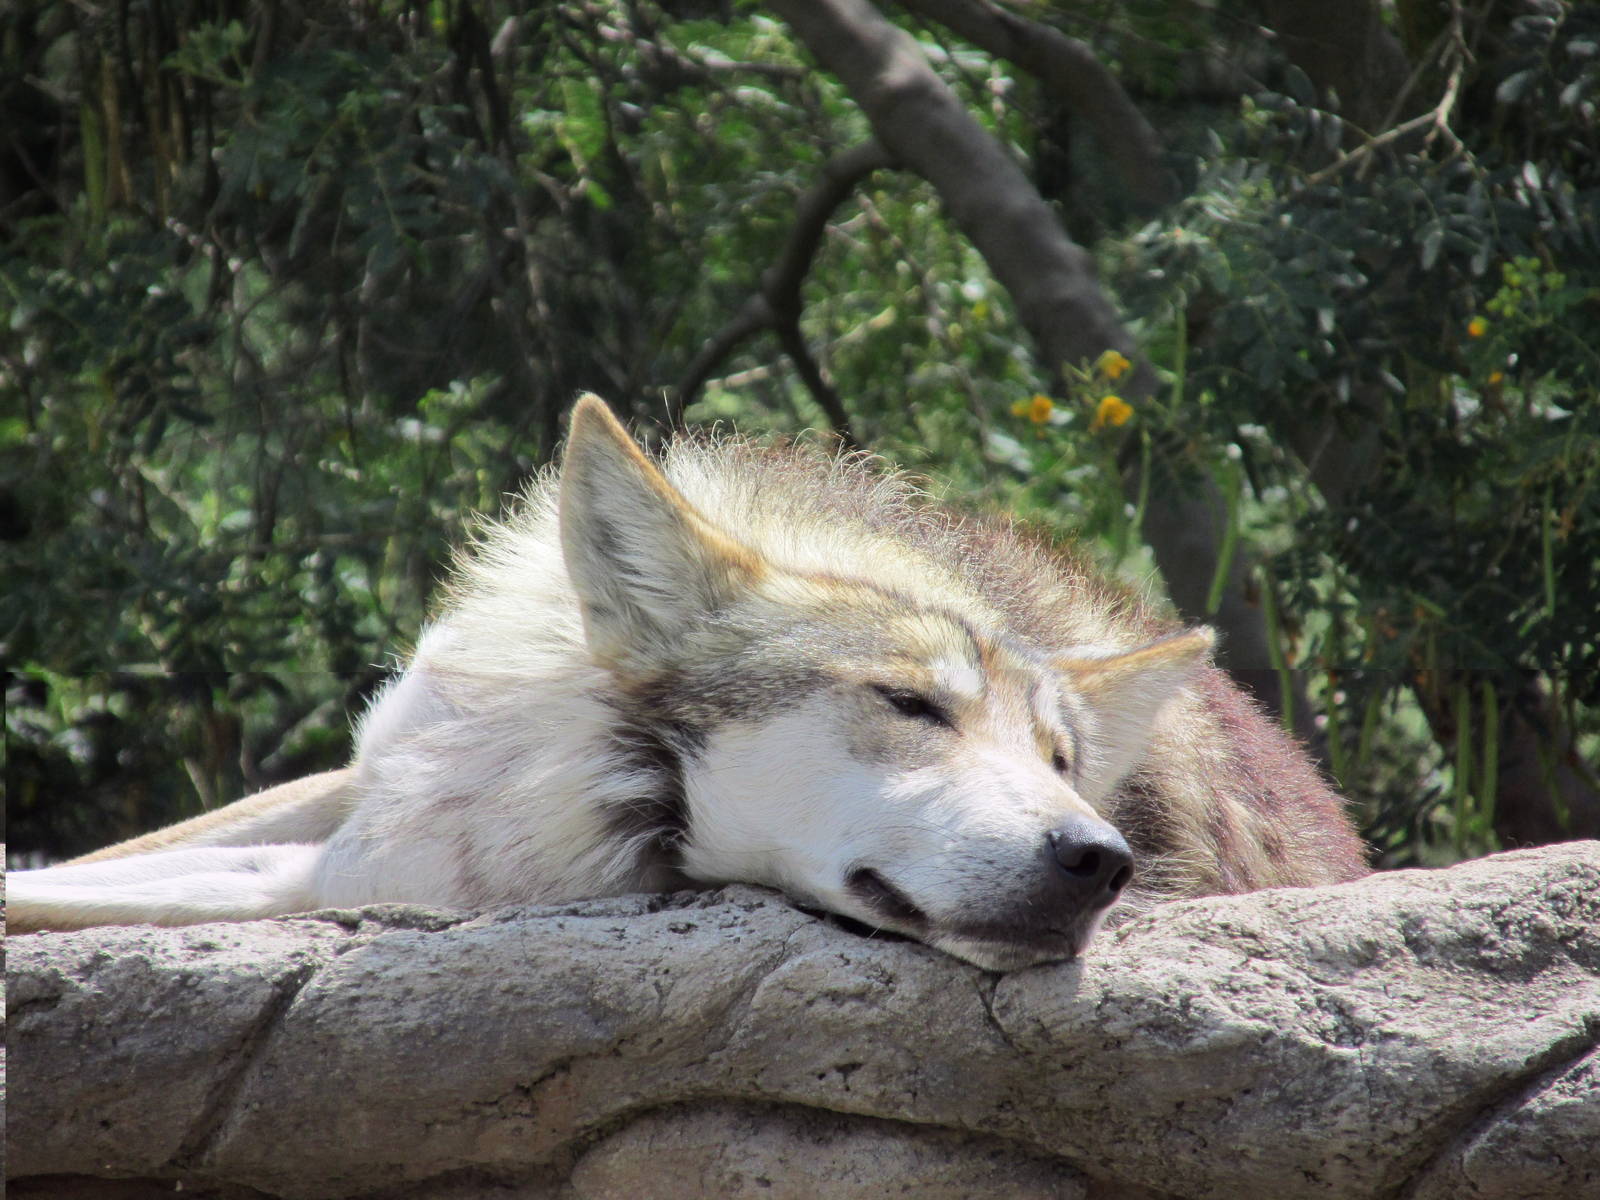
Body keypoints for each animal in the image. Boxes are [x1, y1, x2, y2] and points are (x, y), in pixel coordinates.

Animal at [10, 396, 1366, 968]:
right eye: (911, 705)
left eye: (1061, 763)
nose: (1097, 859)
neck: (557, 748)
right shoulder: (367, 802)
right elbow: (96, 865)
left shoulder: (387, 877)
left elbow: (85, 891)